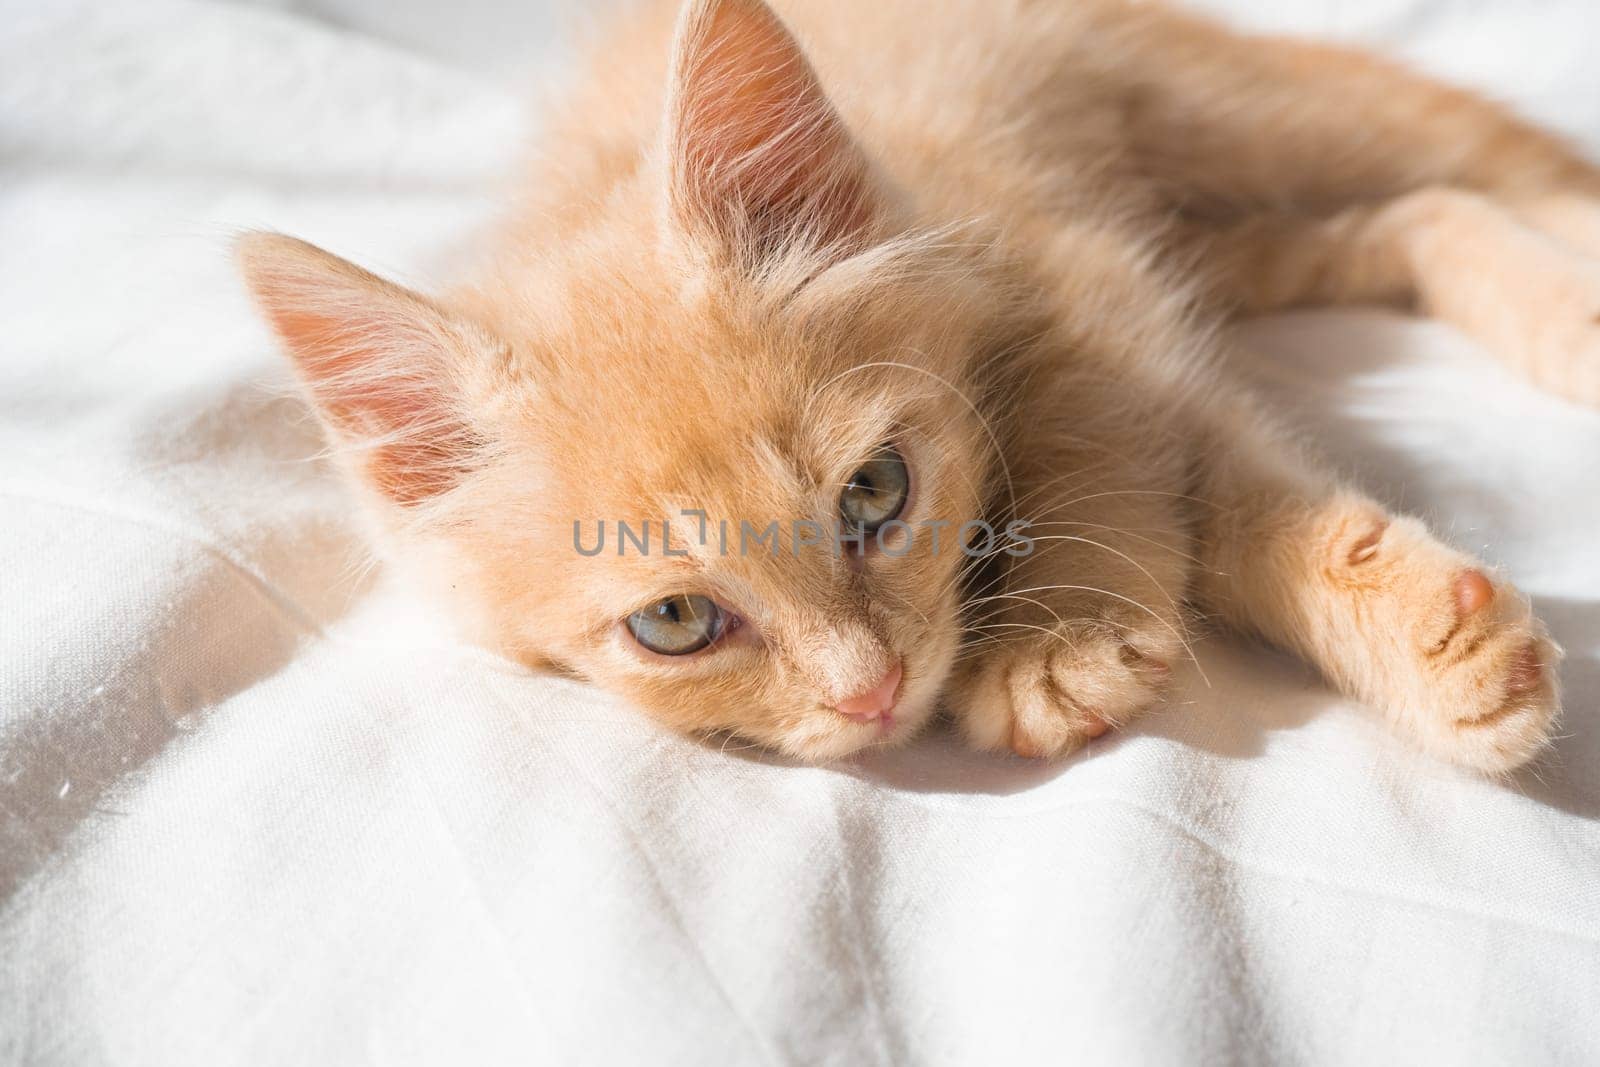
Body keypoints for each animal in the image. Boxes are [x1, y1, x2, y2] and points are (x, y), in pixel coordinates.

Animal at [233, 0, 1600, 771]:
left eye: (875, 494)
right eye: (673, 621)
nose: (872, 690)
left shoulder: (1101, 298)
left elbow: (1122, 456)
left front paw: (1061, 634)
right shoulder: (1132, 287)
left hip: (1233, 110)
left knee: (1495, 157)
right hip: (1223, 224)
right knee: (1411, 215)